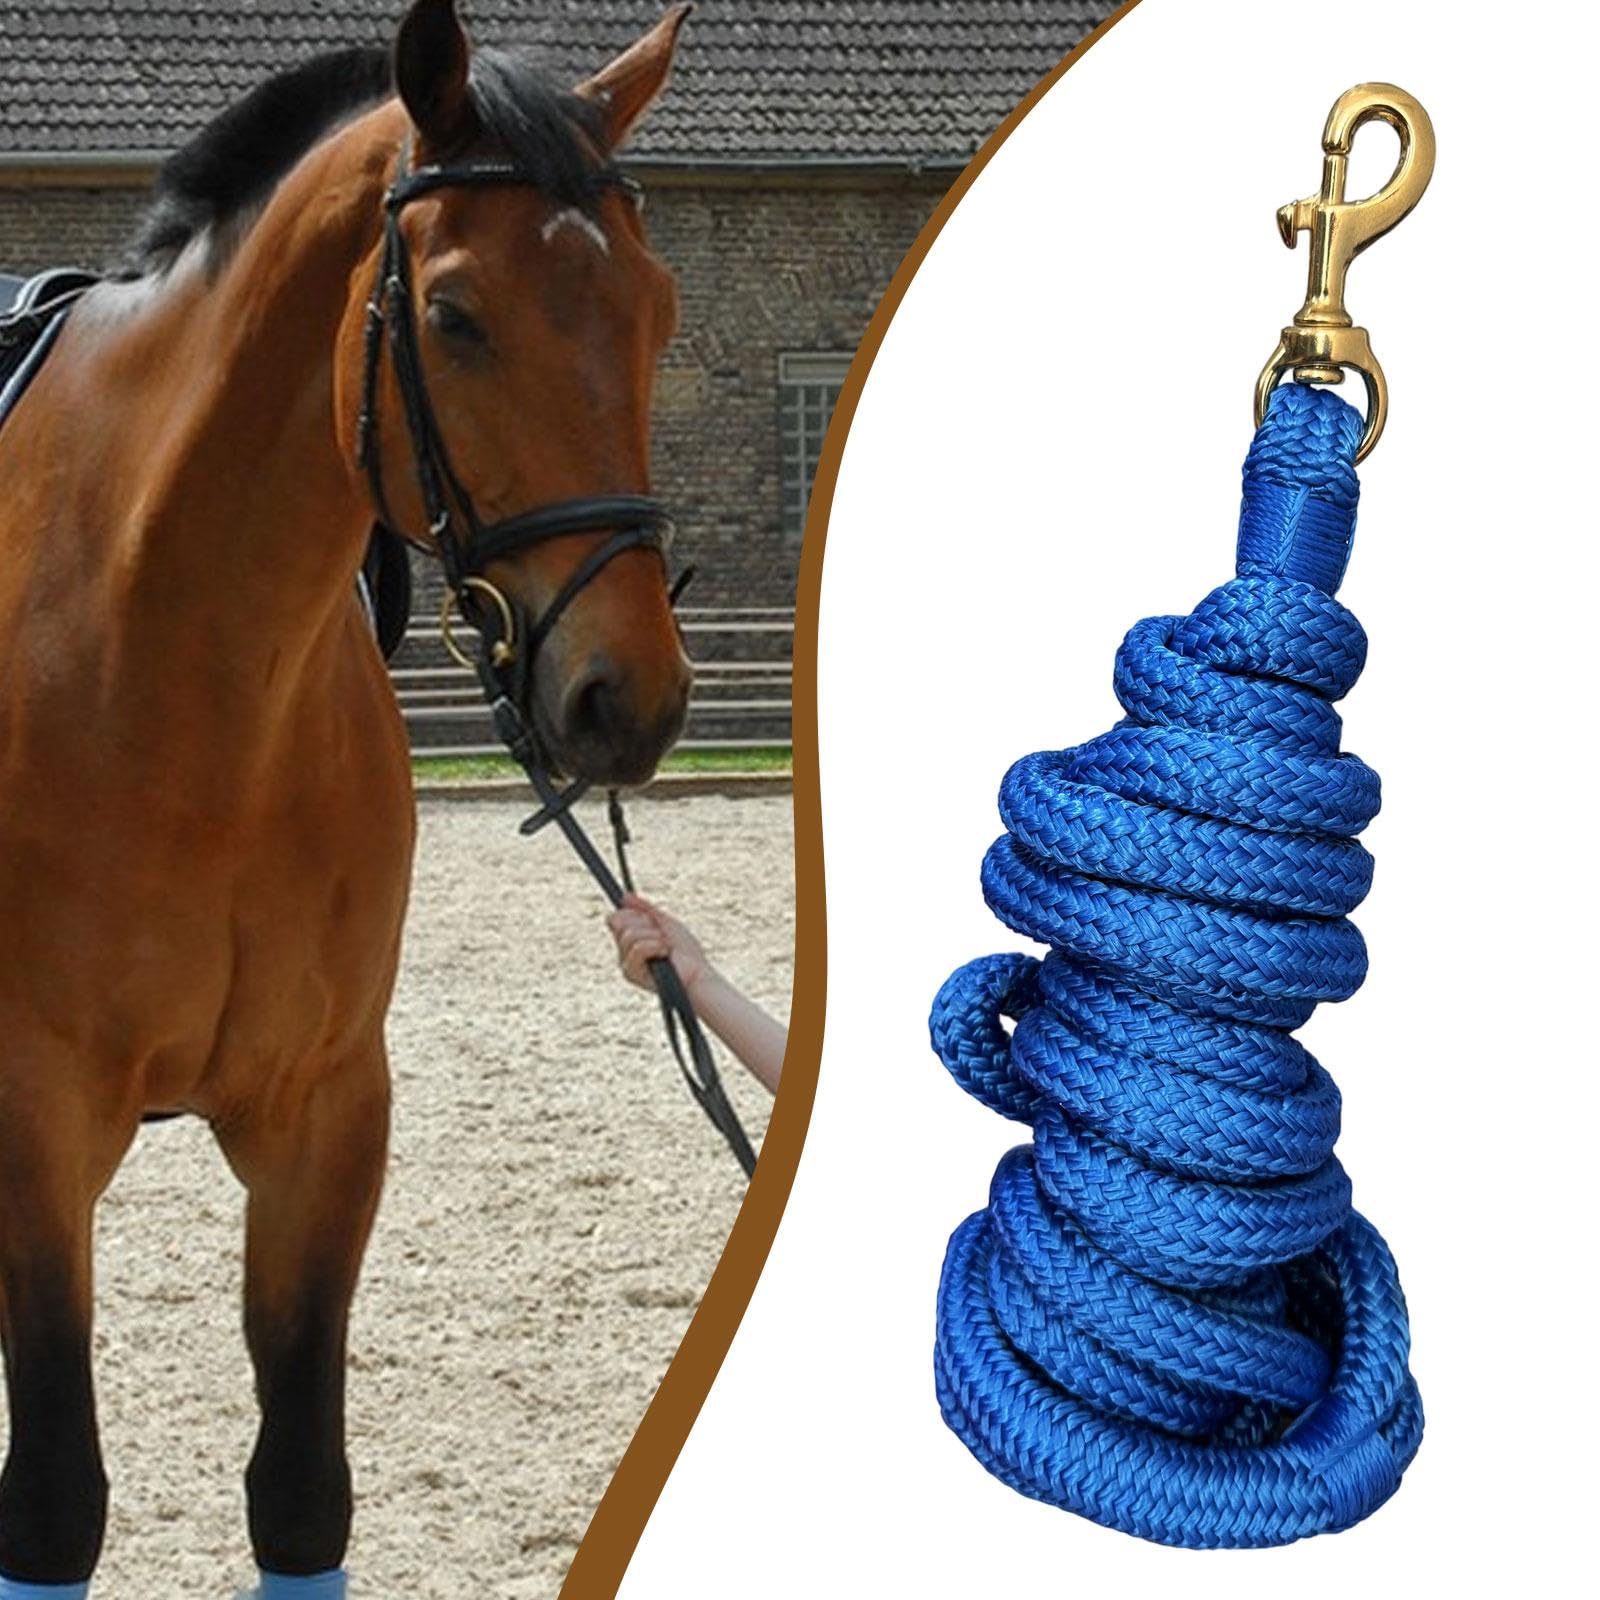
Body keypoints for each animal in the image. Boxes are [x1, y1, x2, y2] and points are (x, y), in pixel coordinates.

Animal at [0, 1, 693, 1592]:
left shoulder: (325, 1112)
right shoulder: (31, 1115)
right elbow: (54, 1494)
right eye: (454, 315)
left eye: (658, 309)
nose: (627, 699)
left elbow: (303, 1486)